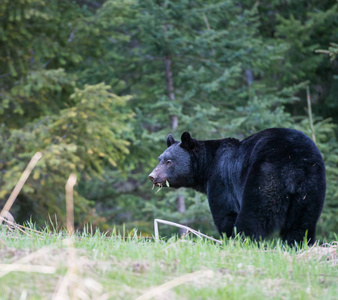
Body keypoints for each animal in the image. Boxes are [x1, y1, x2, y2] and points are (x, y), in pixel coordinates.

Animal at [149, 127, 326, 245]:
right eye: (159, 159)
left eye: (169, 161)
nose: (152, 176)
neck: (208, 165)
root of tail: (293, 165)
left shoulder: (220, 179)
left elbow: (225, 213)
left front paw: (227, 240)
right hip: (311, 185)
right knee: (302, 223)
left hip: (263, 177)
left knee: (253, 216)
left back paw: (244, 243)